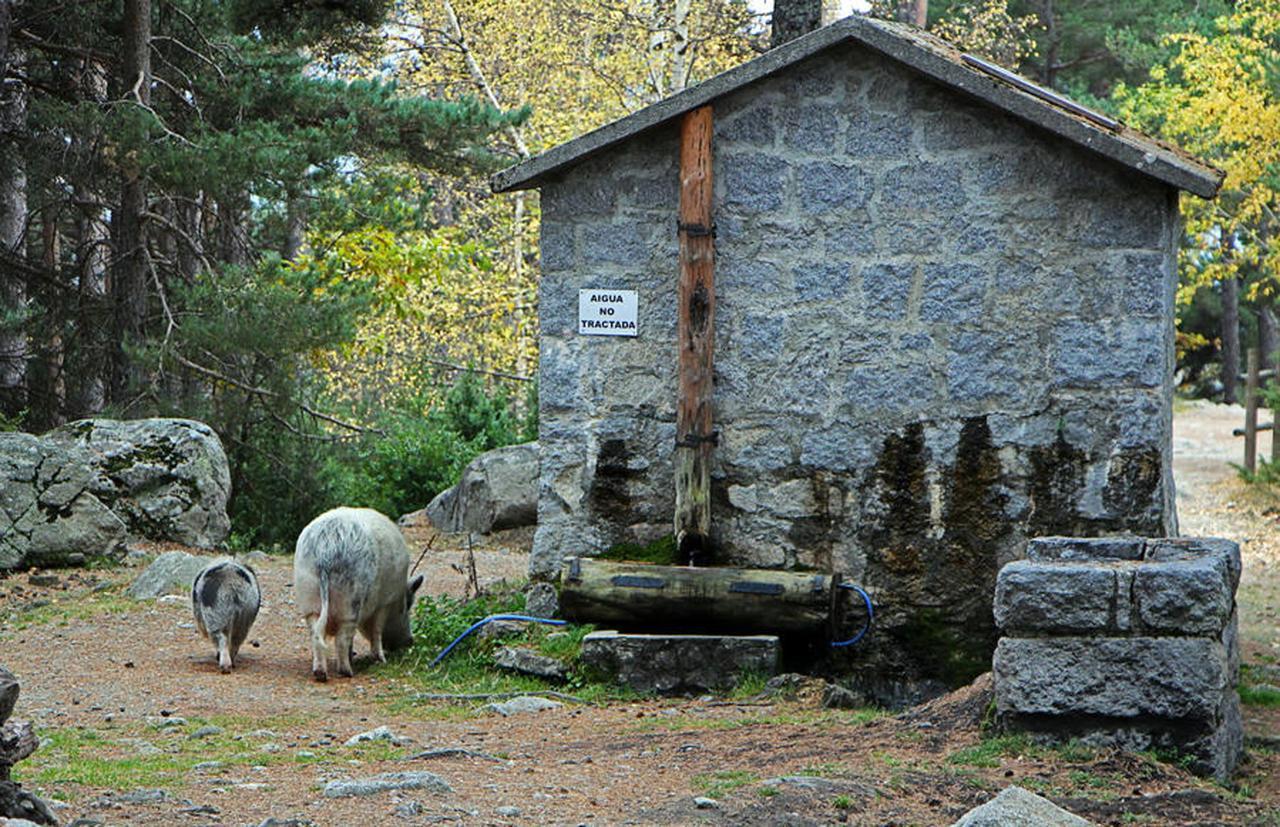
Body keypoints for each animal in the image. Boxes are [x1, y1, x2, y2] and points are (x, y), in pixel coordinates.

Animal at [294, 509, 424, 686]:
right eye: (408, 606)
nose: (410, 641)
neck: (398, 595)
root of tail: (325, 551)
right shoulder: (385, 602)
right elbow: (377, 630)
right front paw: (381, 660)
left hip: (308, 597)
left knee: (316, 634)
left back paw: (321, 674)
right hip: (351, 600)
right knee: (341, 639)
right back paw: (348, 672)